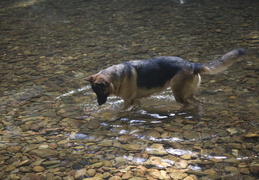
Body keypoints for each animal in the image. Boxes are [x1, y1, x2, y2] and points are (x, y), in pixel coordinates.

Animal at [85, 48, 246, 109]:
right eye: (94, 92)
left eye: (99, 91)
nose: (99, 104)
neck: (116, 77)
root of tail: (192, 64)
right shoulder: (135, 101)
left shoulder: (128, 101)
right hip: (187, 92)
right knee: (196, 102)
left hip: (178, 92)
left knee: (188, 104)